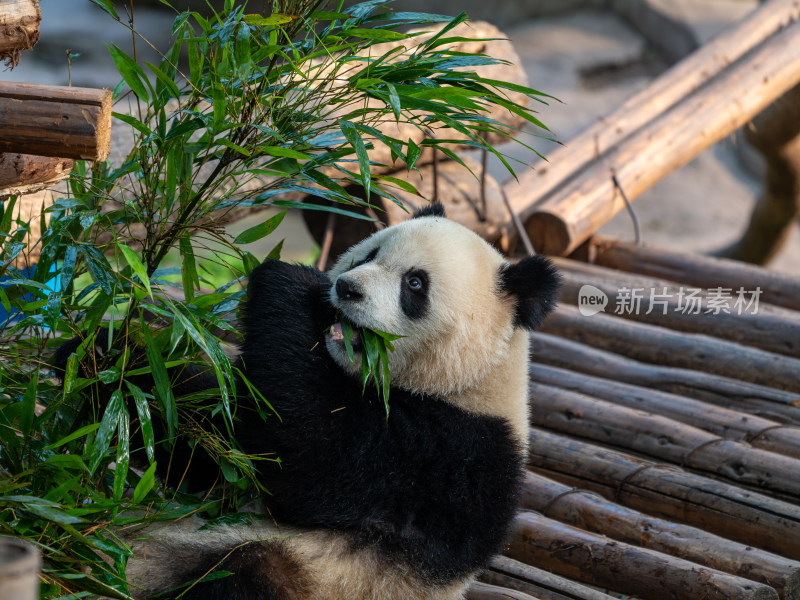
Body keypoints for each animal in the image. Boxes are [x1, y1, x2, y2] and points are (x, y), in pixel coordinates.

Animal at [65, 204, 560, 596]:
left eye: (415, 284)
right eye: (369, 254)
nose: (347, 289)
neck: (471, 380)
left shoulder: (453, 455)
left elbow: (316, 458)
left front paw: (290, 278)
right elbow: (219, 443)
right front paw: (98, 358)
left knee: (248, 572)